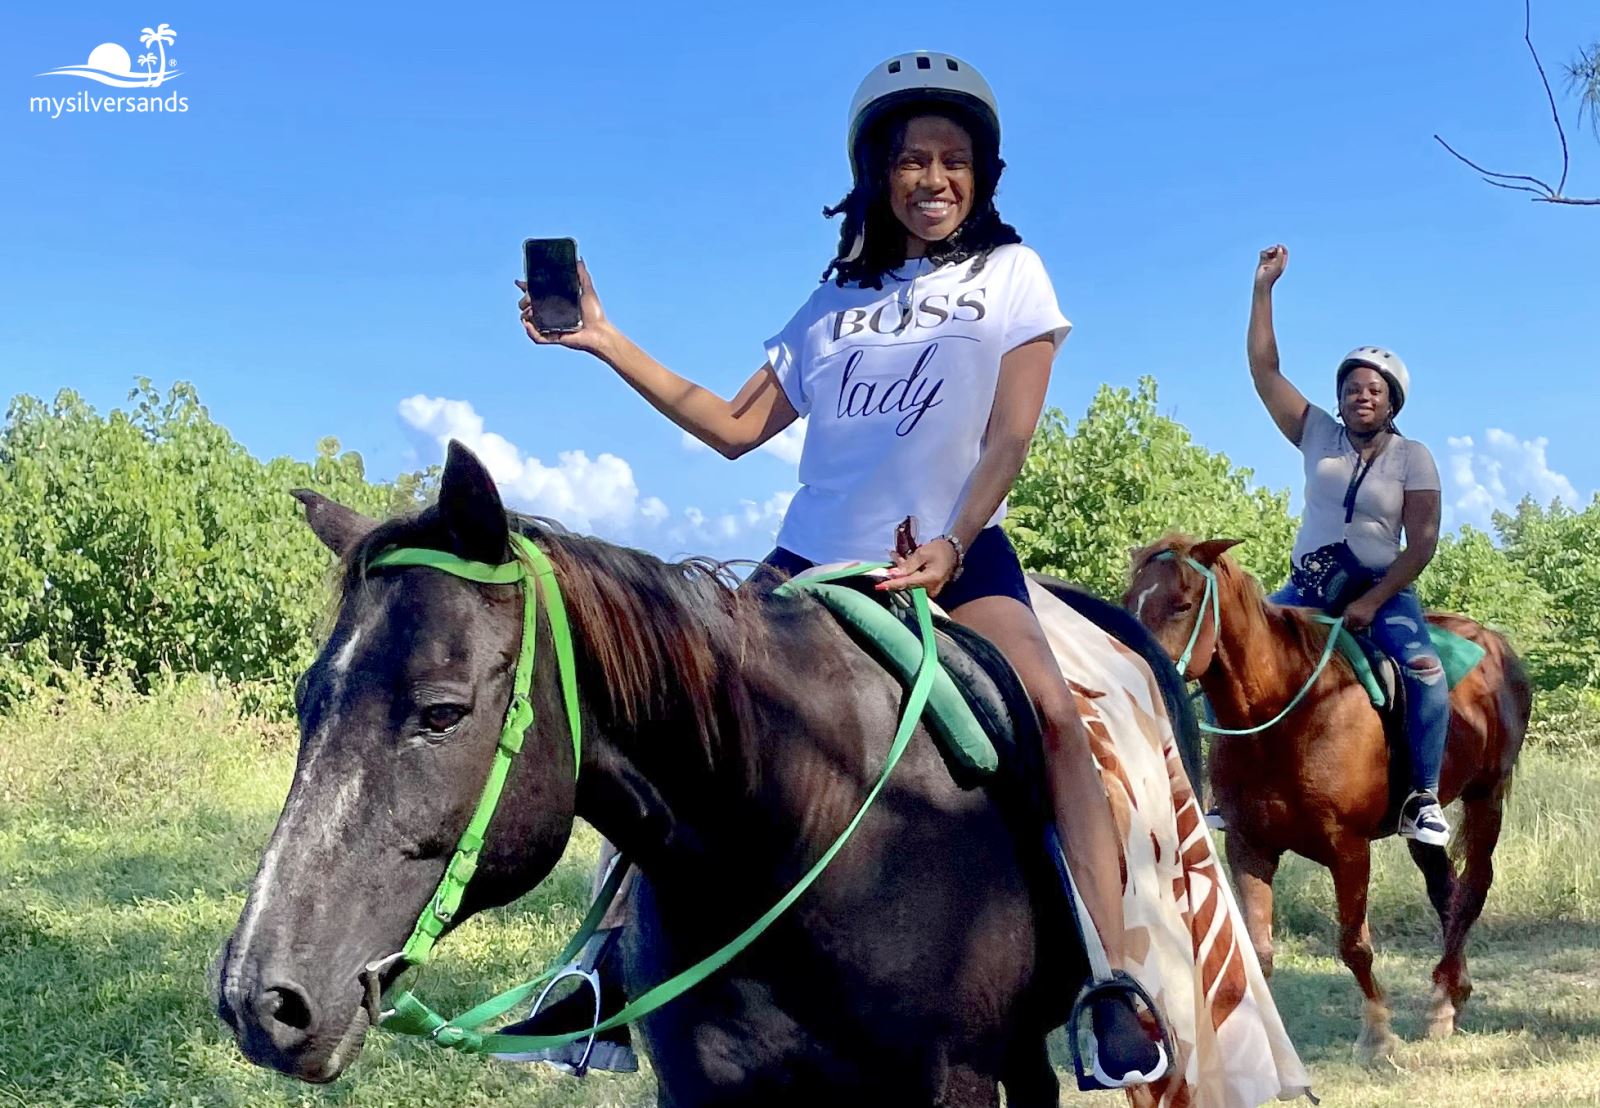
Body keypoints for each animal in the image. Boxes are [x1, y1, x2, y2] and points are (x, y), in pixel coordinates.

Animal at [1120, 537, 1529, 1063]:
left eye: (1182, 604)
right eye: (1131, 600)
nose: (1132, 670)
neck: (1287, 713)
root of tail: (1499, 647)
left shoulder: (1348, 849)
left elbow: (1355, 945)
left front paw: (1377, 1034)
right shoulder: (1249, 847)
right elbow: (1260, 950)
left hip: (1486, 797)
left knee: (1474, 886)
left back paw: (1442, 998)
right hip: (1420, 828)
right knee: (1447, 891)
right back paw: (1450, 994)